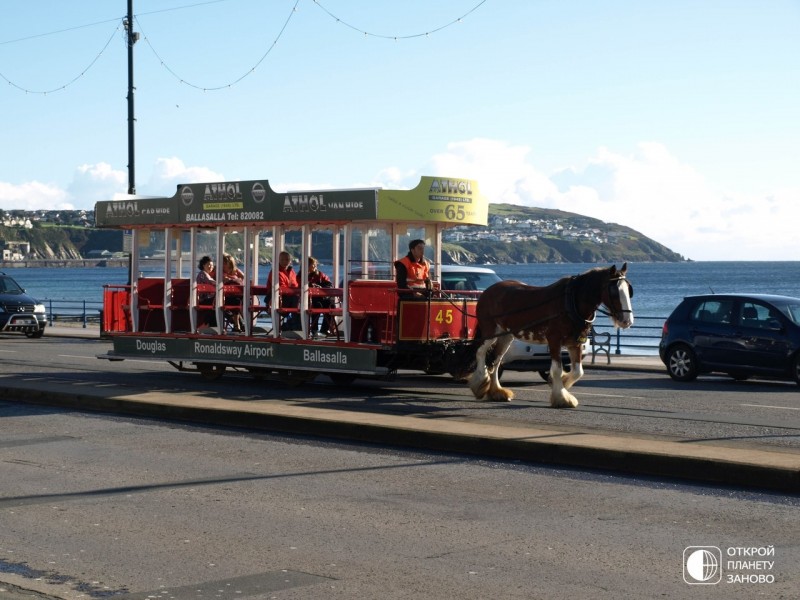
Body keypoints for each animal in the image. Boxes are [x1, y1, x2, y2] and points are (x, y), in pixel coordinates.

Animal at [466, 264, 636, 408]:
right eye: (614, 291)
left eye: (629, 290)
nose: (627, 321)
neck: (571, 301)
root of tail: (488, 291)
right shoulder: (554, 340)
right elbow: (557, 369)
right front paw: (561, 397)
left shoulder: (575, 343)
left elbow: (577, 371)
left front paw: (562, 384)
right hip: (490, 332)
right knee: (481, 353)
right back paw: (480, 383)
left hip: (506, 335)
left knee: (496, 360)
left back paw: (496, 391)